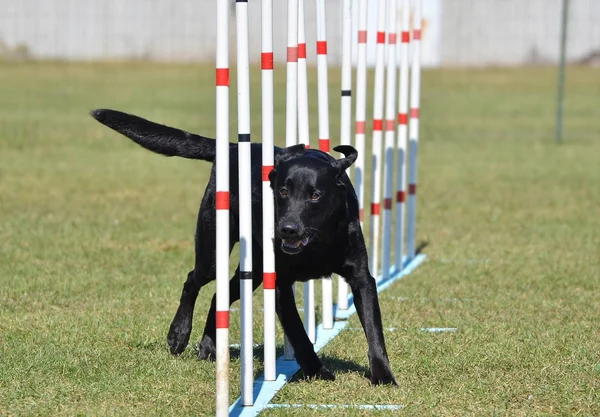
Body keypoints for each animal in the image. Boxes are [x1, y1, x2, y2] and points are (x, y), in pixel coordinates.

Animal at [91, 109, 396, 386]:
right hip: (214, 251)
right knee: (193, 280)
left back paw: (208, 347)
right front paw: (316, 371)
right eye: (282, 191)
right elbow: (299, 334)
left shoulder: (361, 278)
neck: (316, 242)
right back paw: (178, 334)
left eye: (315, 195)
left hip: (253, 271)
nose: (287, 229)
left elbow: (374, 330)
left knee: (219, 296)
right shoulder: (280, 284)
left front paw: (383, 376)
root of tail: (232, 147)